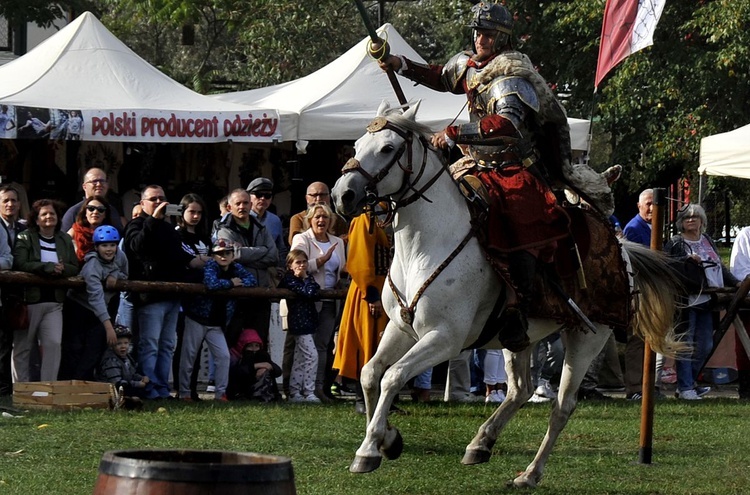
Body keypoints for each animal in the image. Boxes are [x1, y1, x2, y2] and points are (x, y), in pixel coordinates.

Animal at [332, 102, 684, 490]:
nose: (342, 195)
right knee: (520, 389)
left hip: (587, 337)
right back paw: (481, 443)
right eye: (357, 144)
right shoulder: (400, 328)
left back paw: (529, 473)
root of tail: (621, 248)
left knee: (562, 406)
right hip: (519, 337)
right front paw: (385, 440)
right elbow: (370, 374)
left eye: (387, 148)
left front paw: (370, 448)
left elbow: (392, 376)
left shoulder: (444, 338)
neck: (425, 245)